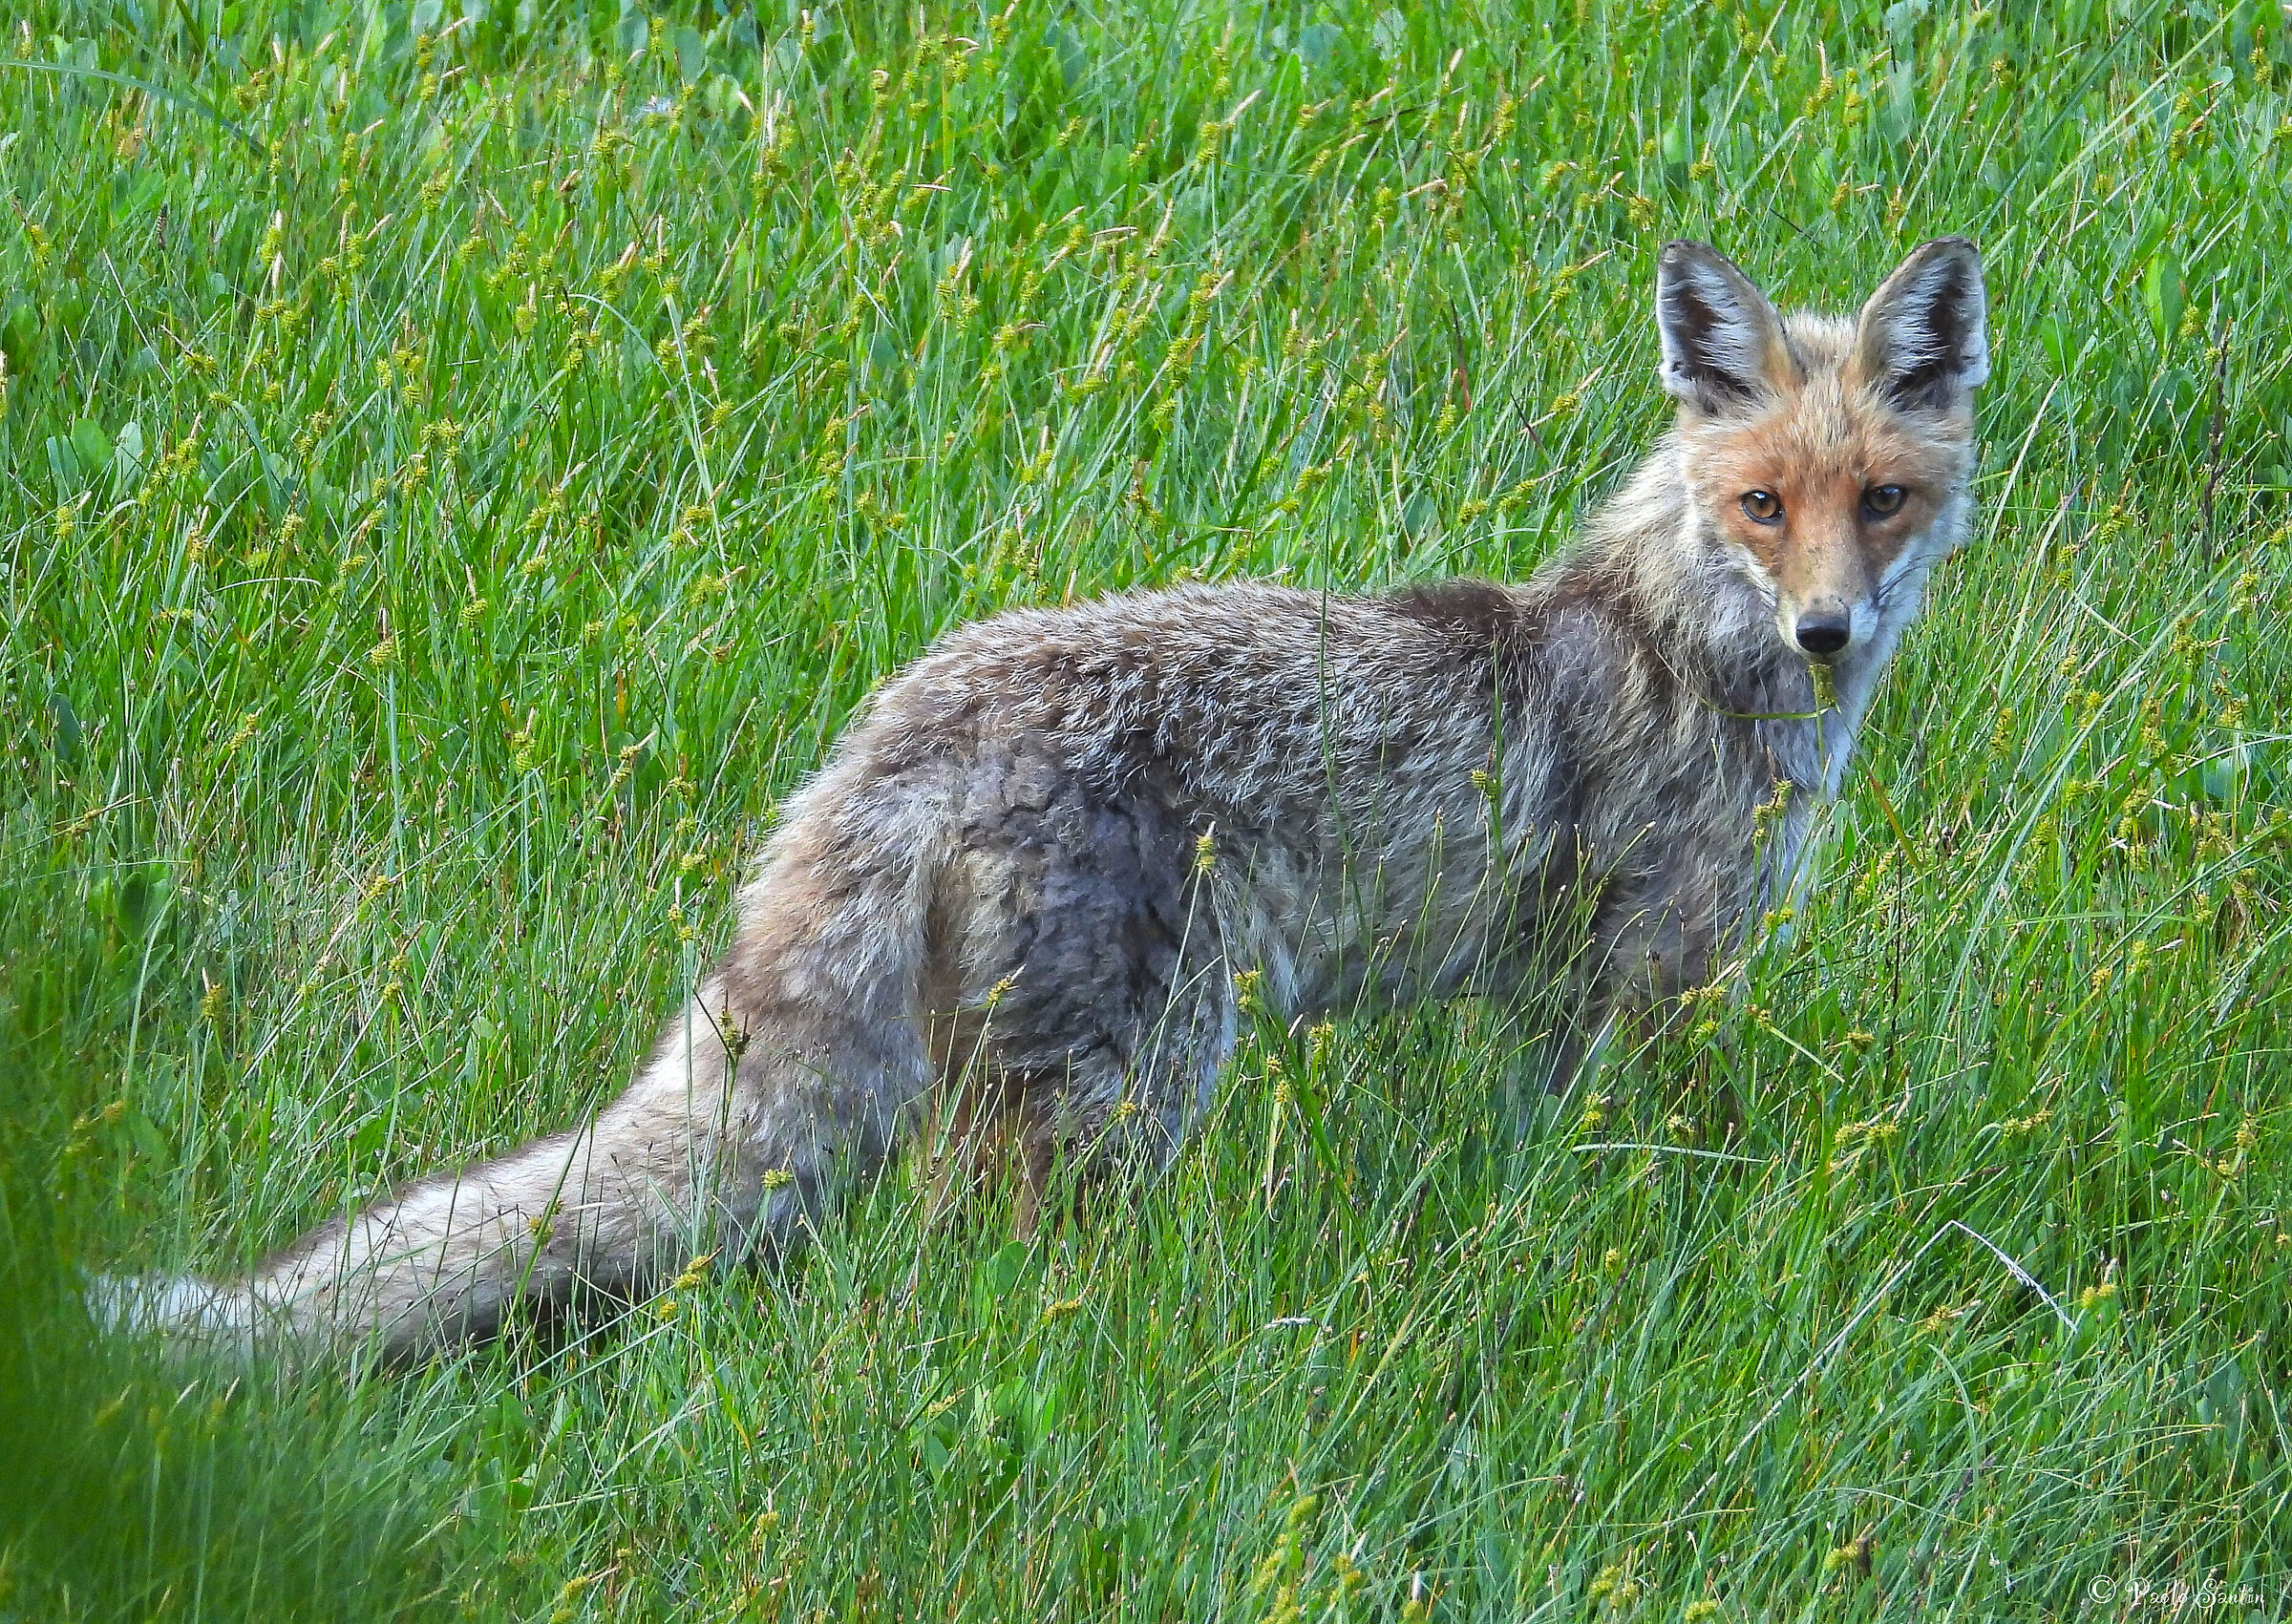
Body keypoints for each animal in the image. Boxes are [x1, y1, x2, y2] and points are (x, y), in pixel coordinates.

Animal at [96, 237, 1988, 1363]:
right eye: (1761, 504)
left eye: (1882, 501)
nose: (1828, 630)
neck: (1679, 642)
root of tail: (902, 724)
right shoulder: (1653, 980)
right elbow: (1652, 1161)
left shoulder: (1559, 1005)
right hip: (1135, 1086)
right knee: (967, 1267)